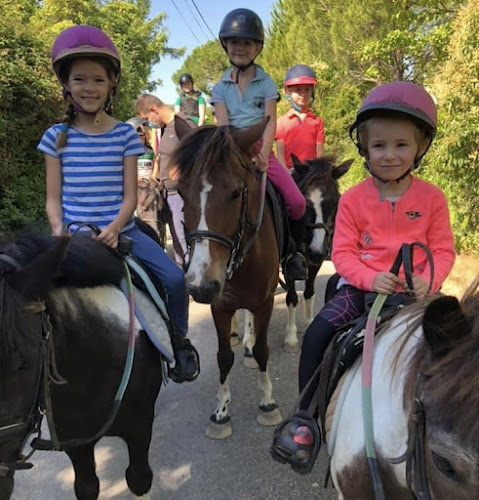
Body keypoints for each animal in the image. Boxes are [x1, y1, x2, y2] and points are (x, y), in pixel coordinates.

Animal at [174, 120, 284, 438]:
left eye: (236, 193)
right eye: (181, 193)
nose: (201, 285)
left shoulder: (265, 302)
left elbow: (262, 350)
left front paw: (267, 403)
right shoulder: (219, 306)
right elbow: (223, 356)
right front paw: (221, 412)